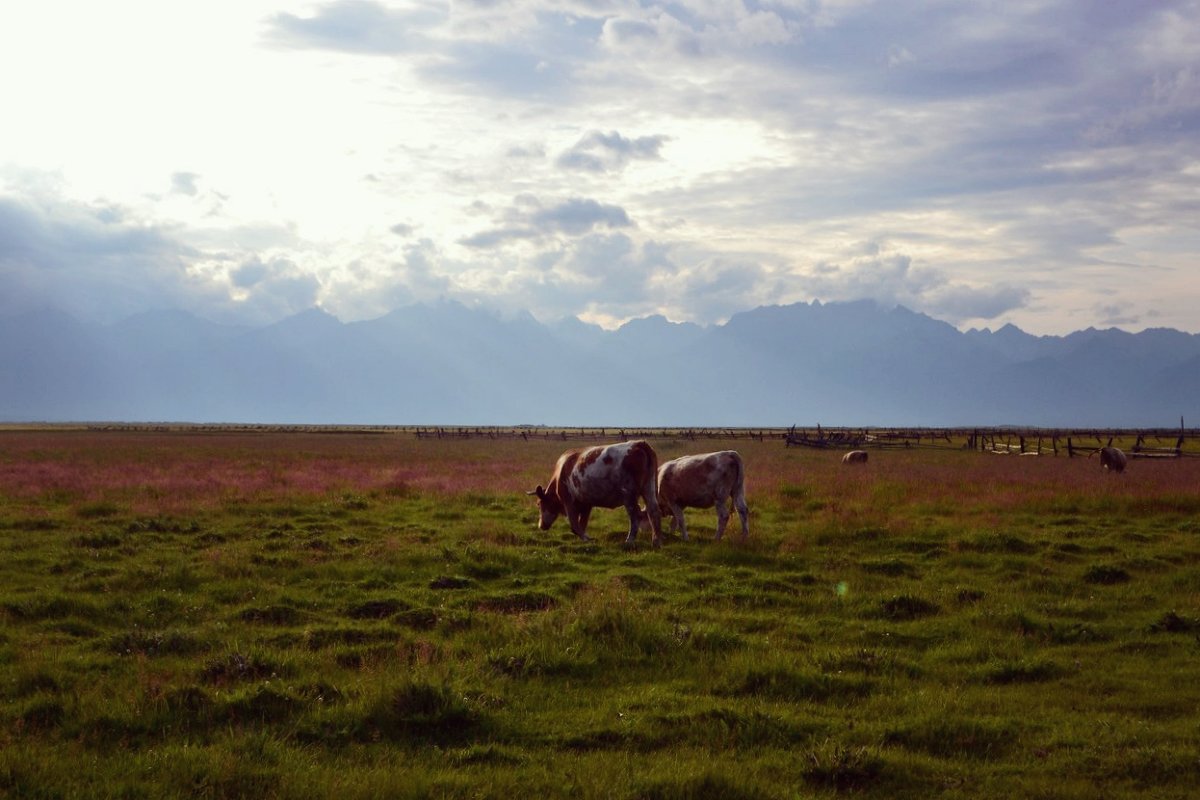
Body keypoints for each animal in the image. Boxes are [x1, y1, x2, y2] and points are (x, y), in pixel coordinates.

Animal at [528, 441, 667, 546]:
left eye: (539, 504)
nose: (541, 525)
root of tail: (638, 443)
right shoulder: (586, 503)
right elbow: (582, 523)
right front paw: (586, 538)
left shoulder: (568, 501)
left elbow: (574, 524)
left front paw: (586, 538)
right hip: (649, 489)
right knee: (653, 511)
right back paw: (656, 542)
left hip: (629, 495)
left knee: (634, 515)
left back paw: (629, 540)